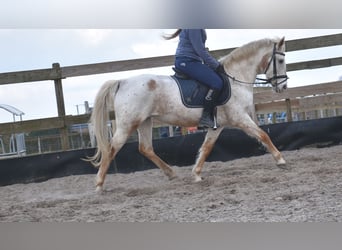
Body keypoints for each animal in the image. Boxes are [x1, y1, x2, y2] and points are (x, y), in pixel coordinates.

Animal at [89, 36, 288, 191]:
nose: (284, 86)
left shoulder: (217, 126)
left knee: (145, 148)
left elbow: (207, 148)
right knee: (111, 148)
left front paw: (197, 174)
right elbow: (262, 135)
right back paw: (99, 184)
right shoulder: (240, 118)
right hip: (128, 124)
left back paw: (171, 173)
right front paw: (280, 160)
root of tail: (122, 81)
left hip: (145, 122)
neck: (235, 79)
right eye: (280, 61)